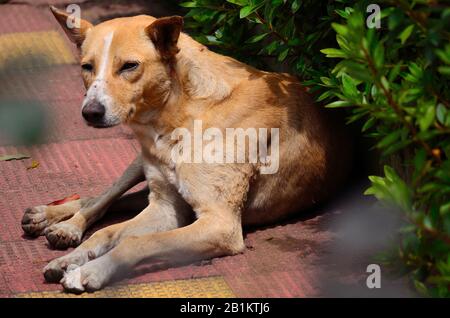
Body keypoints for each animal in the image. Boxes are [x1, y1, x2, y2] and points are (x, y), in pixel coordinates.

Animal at [20, 5, 352, 294]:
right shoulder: (166, 207)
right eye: (86, 67)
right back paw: (60, 226)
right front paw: (76, 257)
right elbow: (108, 232)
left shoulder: (217, 224)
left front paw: (91, 270)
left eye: (129, 66)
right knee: (103, 199)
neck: (182, 110)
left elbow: (134, 242)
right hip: (137, 164)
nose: (90, 112)